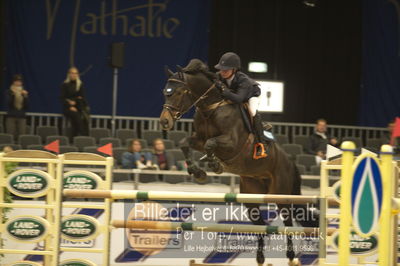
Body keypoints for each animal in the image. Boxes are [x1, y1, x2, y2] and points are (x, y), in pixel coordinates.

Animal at [158, 59, 318, 264]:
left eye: (179, 93)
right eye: (165, 92)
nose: (164, 122)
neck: (211, 107)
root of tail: (290, 163)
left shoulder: (231, 143)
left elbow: (211, 144)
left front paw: (214, 165)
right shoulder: (198, 140)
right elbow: (185, 143)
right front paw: (199, 173)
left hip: (280, 194)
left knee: (287, 222)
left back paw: (290, 256)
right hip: (251, 196)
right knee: (261, 225)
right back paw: (260, 257)